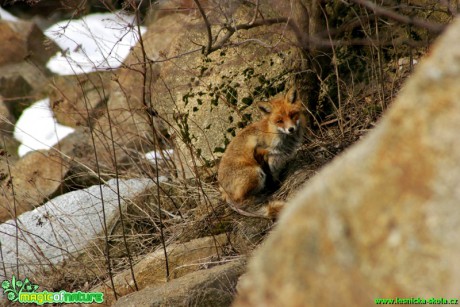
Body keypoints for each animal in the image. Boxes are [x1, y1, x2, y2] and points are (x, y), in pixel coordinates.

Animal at [217, 88, 308, 219]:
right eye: (279, 121)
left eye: (292, 115)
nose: (291, 129)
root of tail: (224, 192)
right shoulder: (260, 153)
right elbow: (270, 175)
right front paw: (274, 187)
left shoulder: (277, 157)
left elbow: (275, 173)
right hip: (255, 172)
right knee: (243, 200)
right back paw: (260, 197)